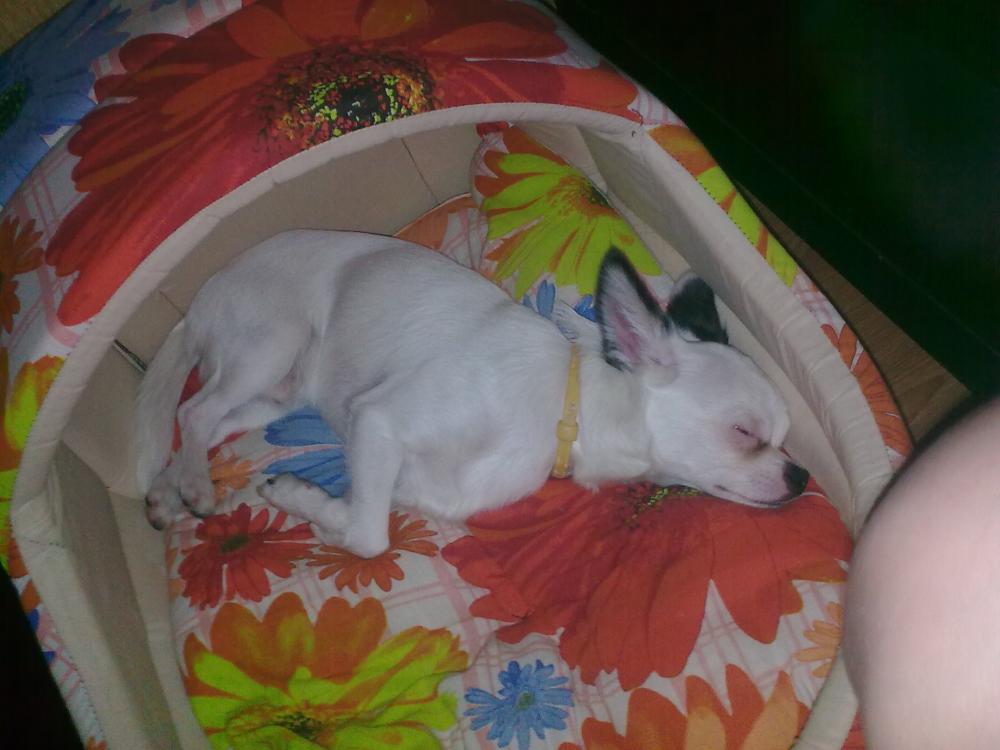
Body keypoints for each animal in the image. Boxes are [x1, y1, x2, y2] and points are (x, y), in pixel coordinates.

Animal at [136, 230, 808, 557]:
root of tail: (196, 305)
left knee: (197, 422)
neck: (560, 412)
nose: (801, 477)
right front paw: (307, 504)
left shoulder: (426, 485)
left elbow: (366, 517)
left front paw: (311, 505)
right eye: (746, 433)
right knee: (195, 407)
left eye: (785, 441)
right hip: (271, 343)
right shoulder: (378, 421)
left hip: (279, 394)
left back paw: (169, 492)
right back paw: (195, 485)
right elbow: (371, 537)